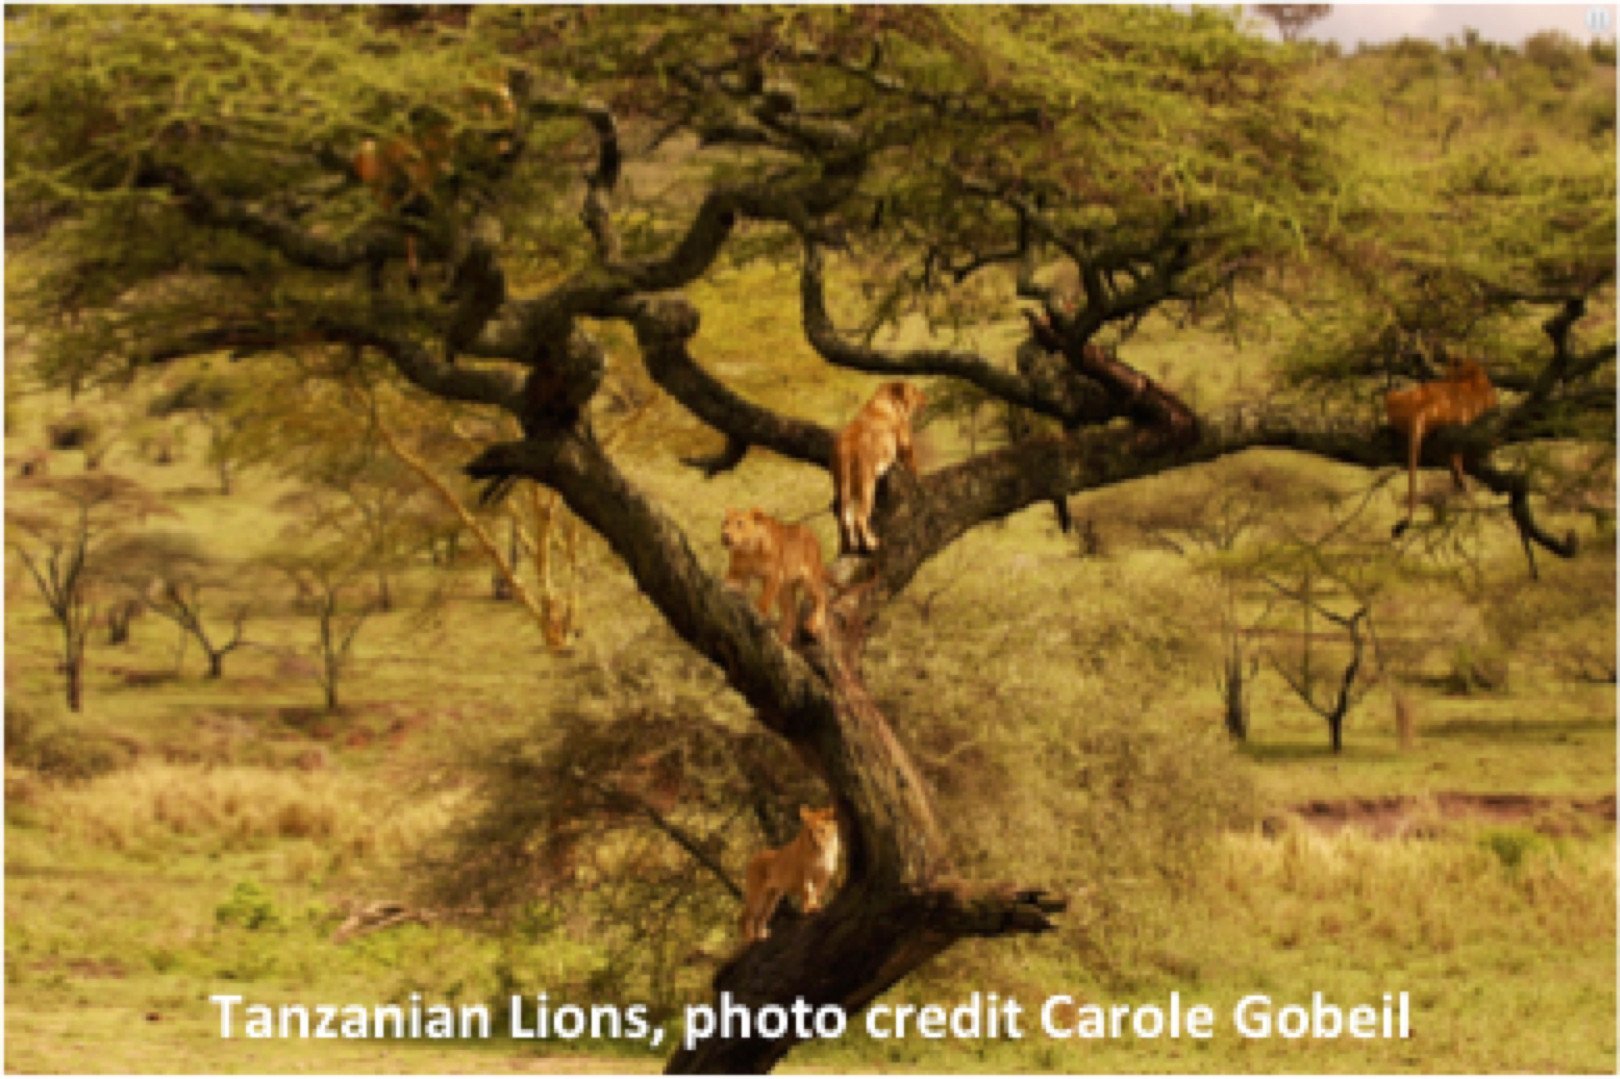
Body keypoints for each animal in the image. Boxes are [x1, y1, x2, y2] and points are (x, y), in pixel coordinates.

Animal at [721, 507, 829, 642]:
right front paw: (726, 590)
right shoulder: (737, 572)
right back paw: (782, 639)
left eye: (740, 523)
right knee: (790, 614)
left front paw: (759, 613)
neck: (749, 550)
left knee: (822, 595)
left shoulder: (774, 575)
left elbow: (765, 599)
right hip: (785, 589)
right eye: (725, 523)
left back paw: (813, 624)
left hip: (810, 577)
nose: (725, 535)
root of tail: (813, 536)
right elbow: (730, 583)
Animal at [739, 805, 841, 943]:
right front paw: (810, 908)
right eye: (809, 832)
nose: (815, 843)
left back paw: (762, 936)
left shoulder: (824, 877)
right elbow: (808, 891)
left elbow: (816, 892)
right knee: (746, 916)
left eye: (821, 830)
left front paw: (813, 906)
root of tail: (753, 859)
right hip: (757, 894)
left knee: (761, 917)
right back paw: (750, 939)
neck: (822, 851)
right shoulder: (805, 875)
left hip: (772, 897)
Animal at [832, 381, 926, 553]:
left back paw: (852, 544)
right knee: (859, 517)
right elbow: (913, 466)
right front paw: (919, 479)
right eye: (915, 391)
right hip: (867, 483)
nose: (925, 397)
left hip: (842, 484)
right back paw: (871, 543)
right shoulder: (905, 443)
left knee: (845, 516)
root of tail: (846, 447)